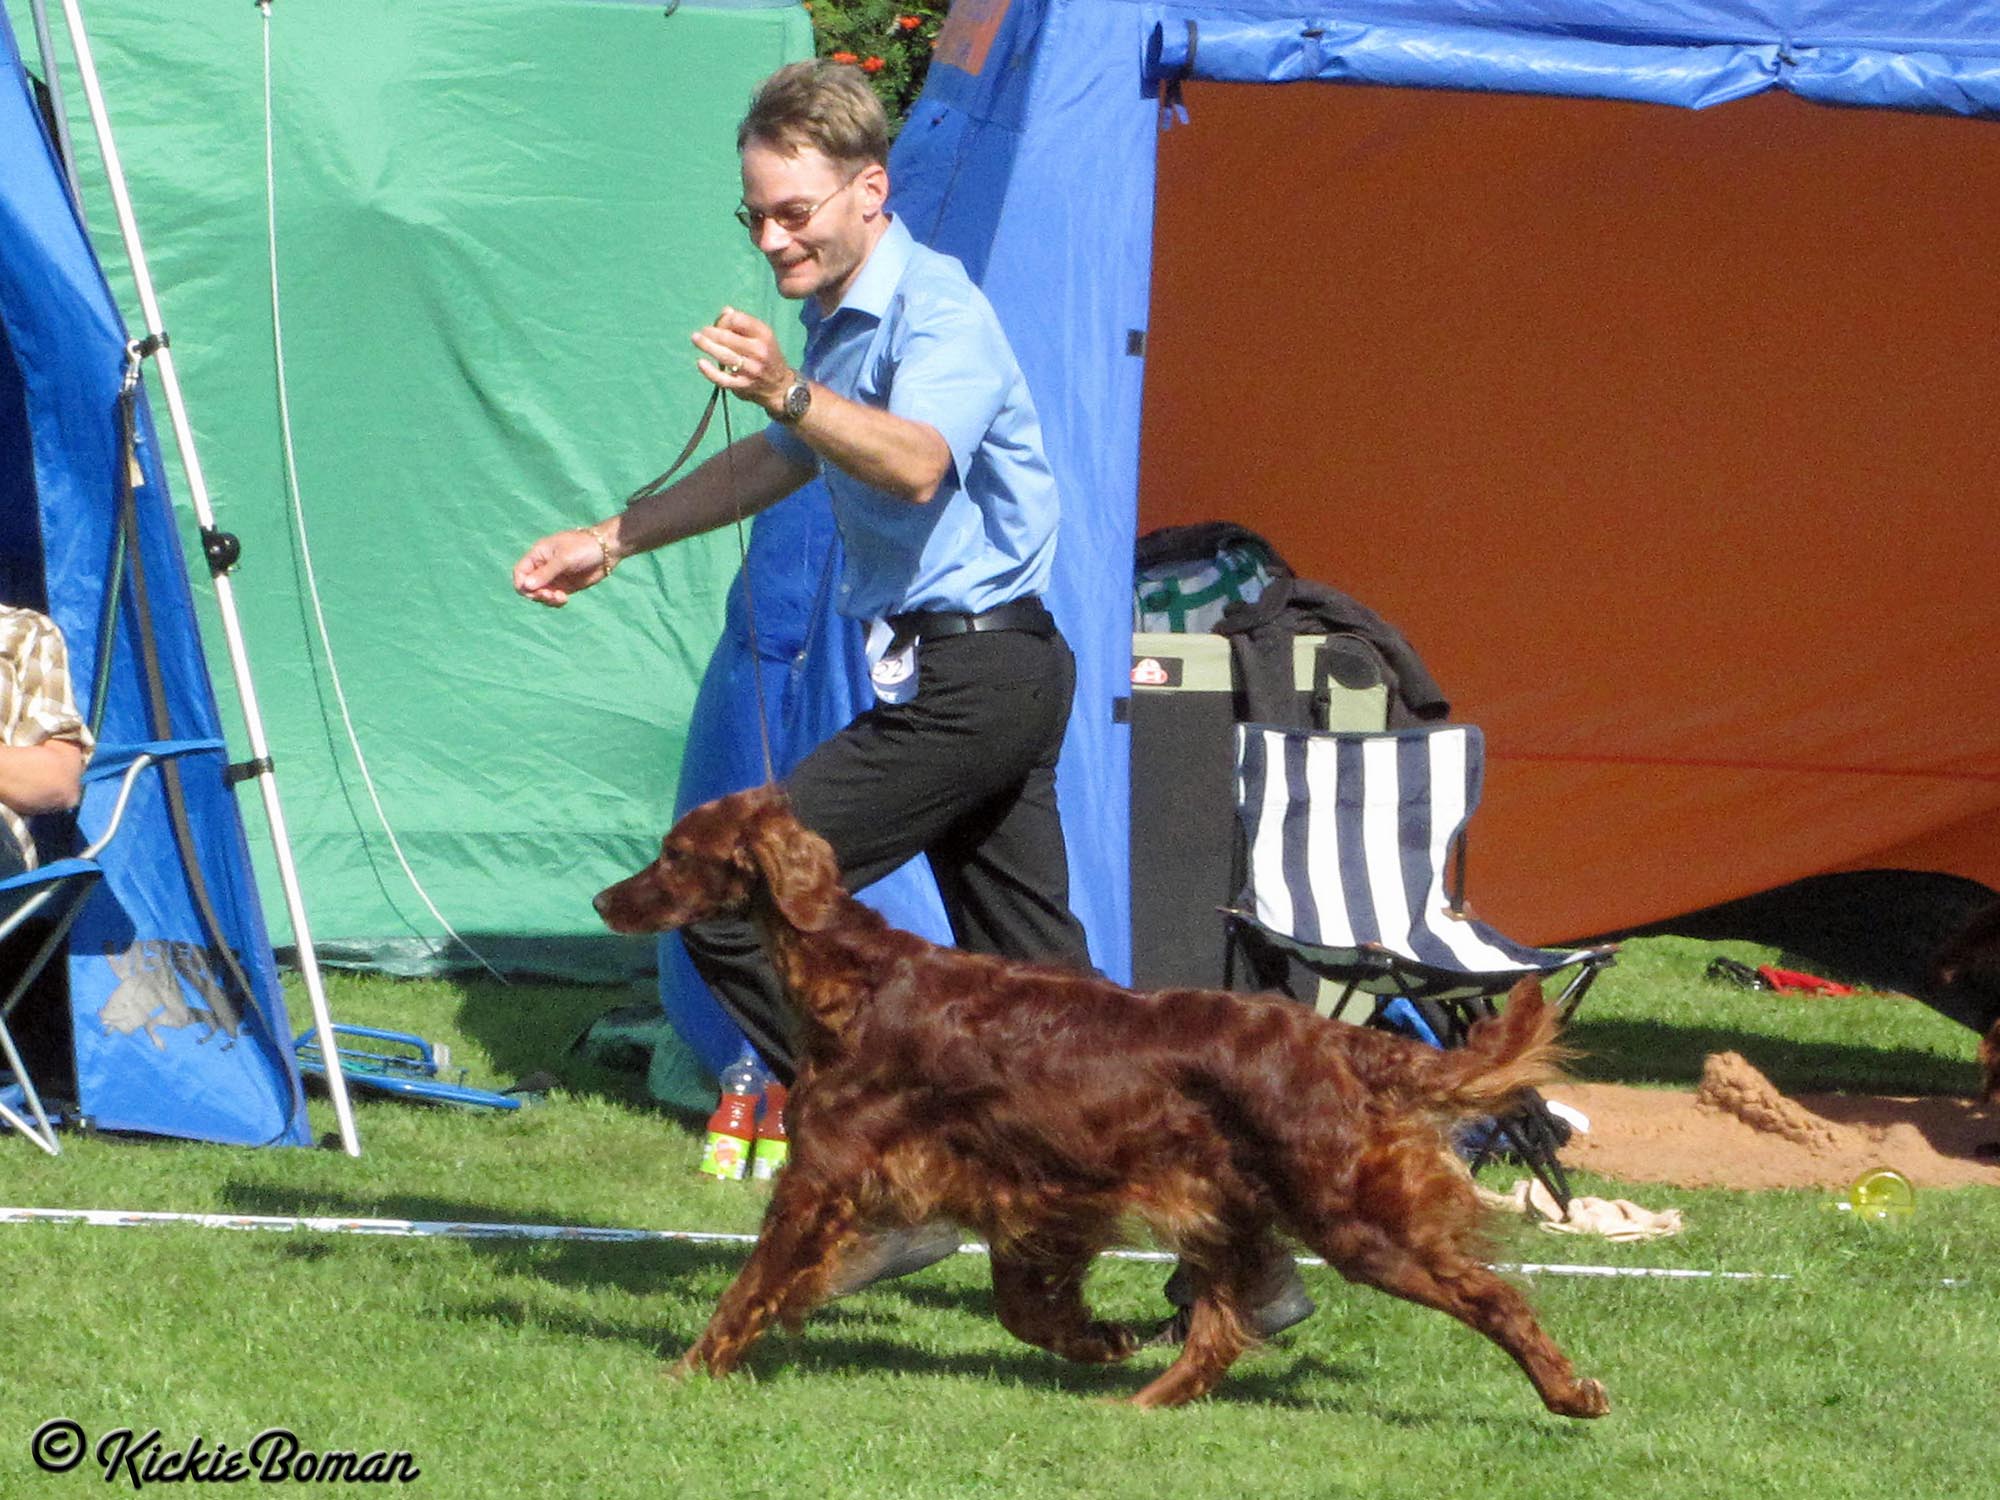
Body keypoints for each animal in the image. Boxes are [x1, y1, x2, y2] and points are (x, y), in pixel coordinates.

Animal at [592, 788, 1608, 1424]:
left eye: (675, 856)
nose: (604, 900)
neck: (860, 979)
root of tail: (1336, 1039)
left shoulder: (823, 1179)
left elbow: (751, 1286)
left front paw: (688, 1369)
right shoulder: (1028, 1191)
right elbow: (1021, 1305)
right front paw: (1101, 1339)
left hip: (1351, 1217)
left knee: (1489, 1295)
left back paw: (1570, 1395)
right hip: (1224, 1204)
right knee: (1220, 1330)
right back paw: (1145, 1406)